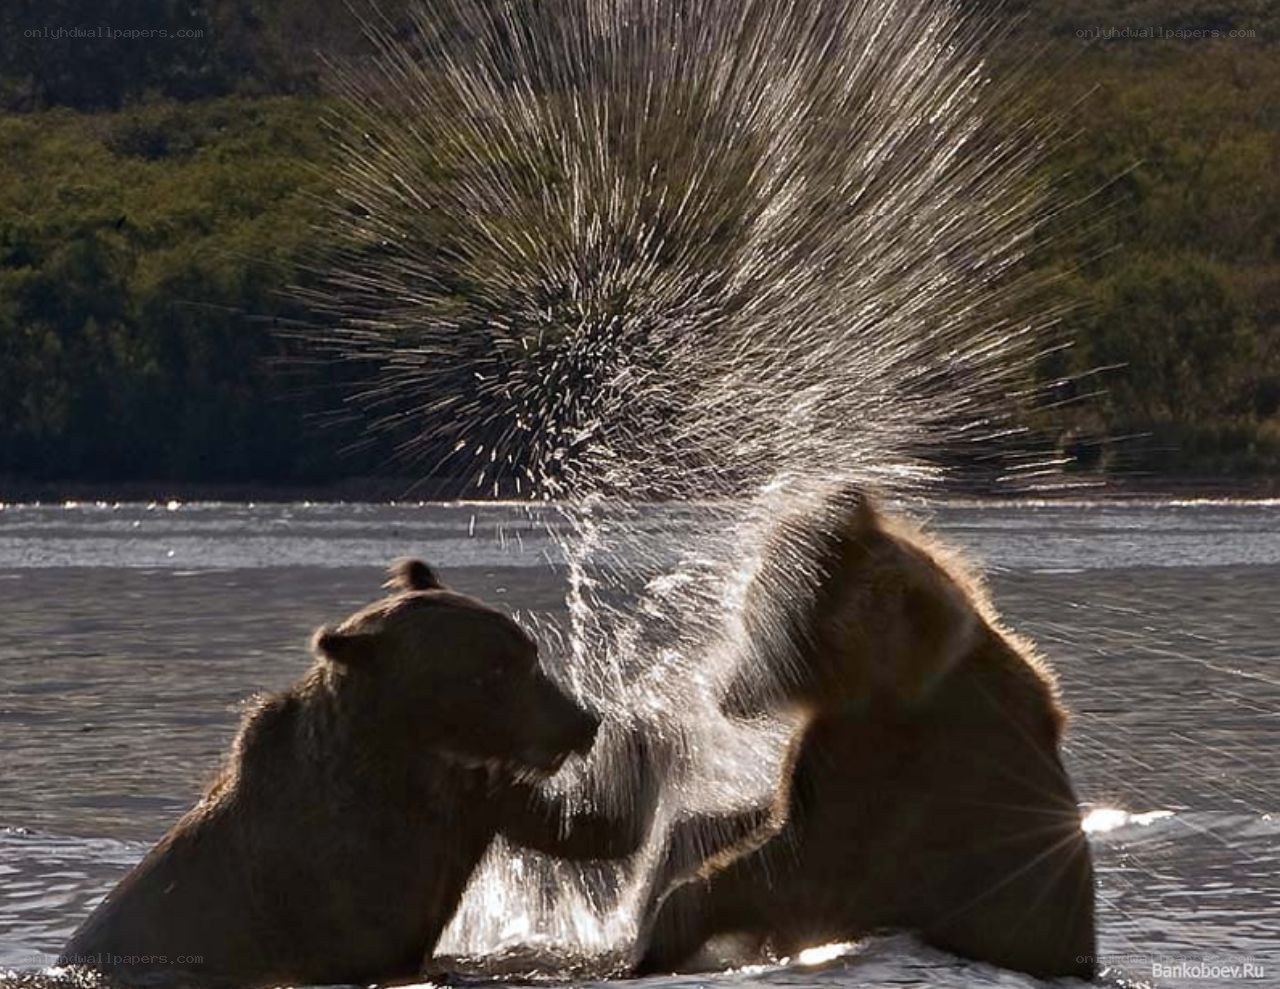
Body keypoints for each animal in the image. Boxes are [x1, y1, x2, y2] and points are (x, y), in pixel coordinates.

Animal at [60, 559, 656, 989]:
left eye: (528, 653)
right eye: (493, 671)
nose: (580, 721)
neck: (409, 762)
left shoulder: (477, 796)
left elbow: (589, 830)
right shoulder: (331, 874)